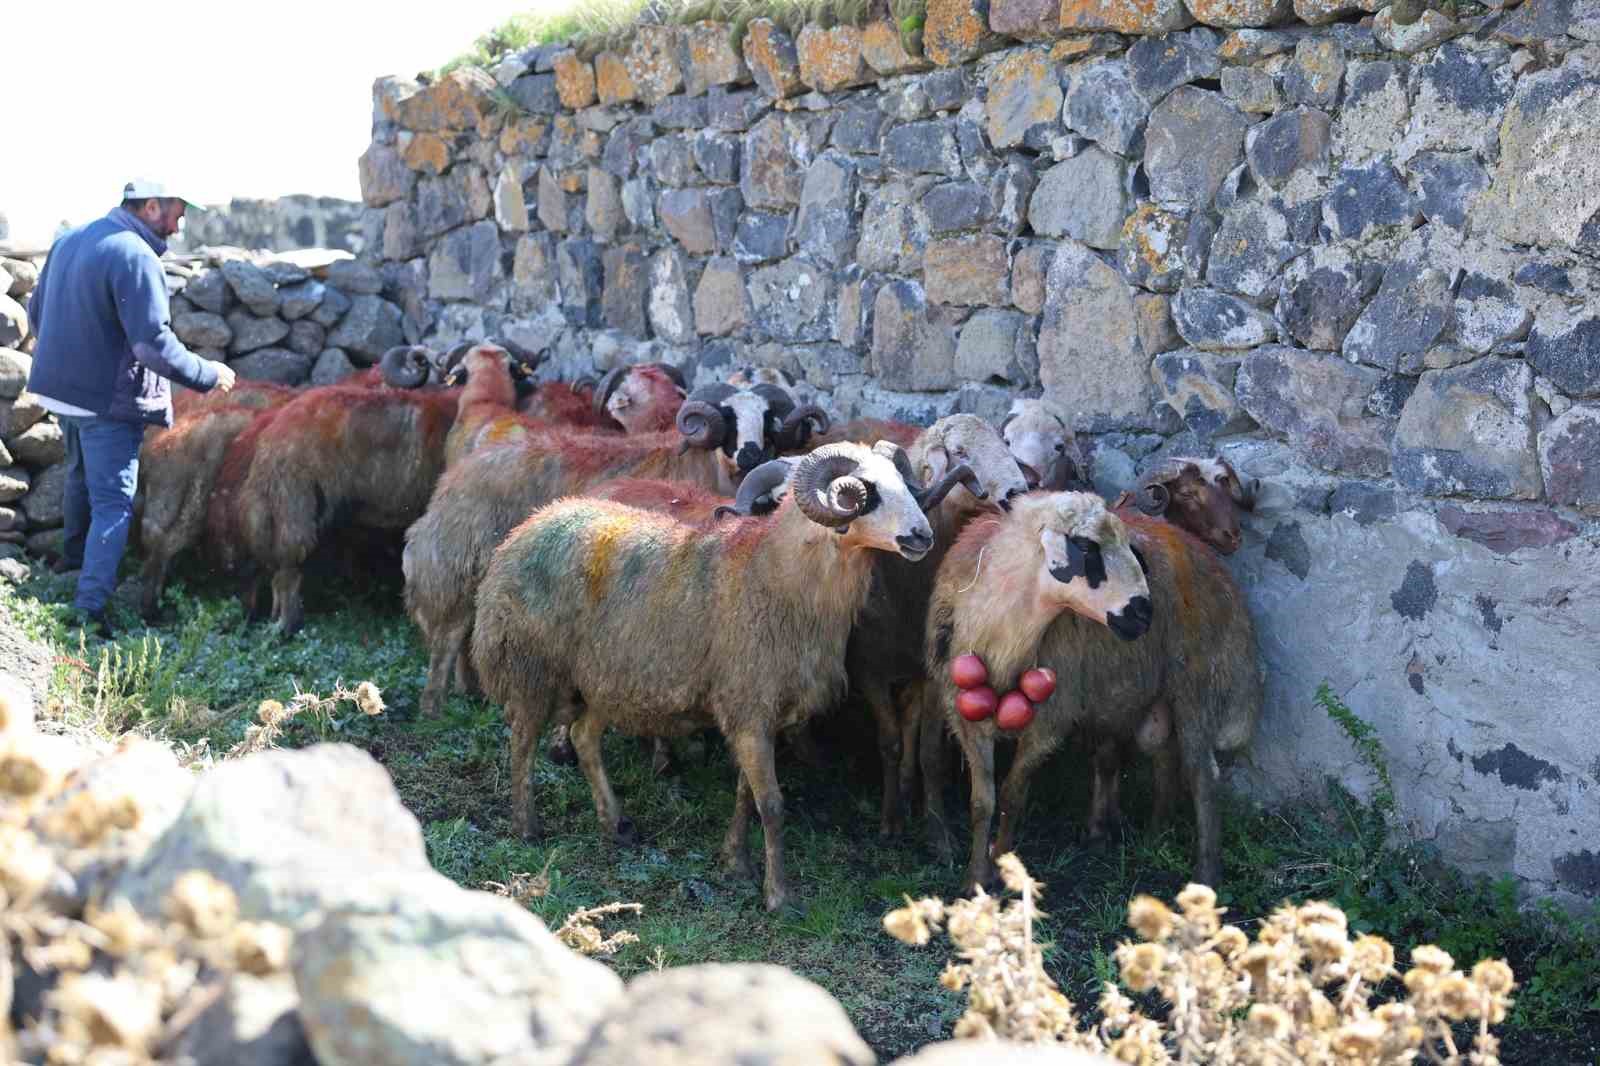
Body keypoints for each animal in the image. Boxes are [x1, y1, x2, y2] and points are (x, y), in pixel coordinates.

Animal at [467, 438, 934, 902]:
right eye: (866, 492)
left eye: (902, 481)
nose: (922, 536)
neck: (774, 575)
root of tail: (532, 522)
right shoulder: (750, 705)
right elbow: (772, 804)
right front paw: (778, 894)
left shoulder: (754, 713)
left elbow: (747, 795)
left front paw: (736, 863)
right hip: (530, 664)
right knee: (522, 742)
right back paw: (527, 826)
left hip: (607, 678)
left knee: (584, 737)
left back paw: (616, 824)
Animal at [928, 499, 1260, 889]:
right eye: (1085, 546)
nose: (1143, 614)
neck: (1005, 631)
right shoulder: (963, 715)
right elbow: (982, 802)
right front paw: (975, 881)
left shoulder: (1050, 721)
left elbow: (1012, 795)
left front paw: (1002, 866)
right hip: (1153, 698)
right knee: (1163, 755)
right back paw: (1154, 836)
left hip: (1198, 687)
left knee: (1203, 775)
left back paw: (1205, 877)